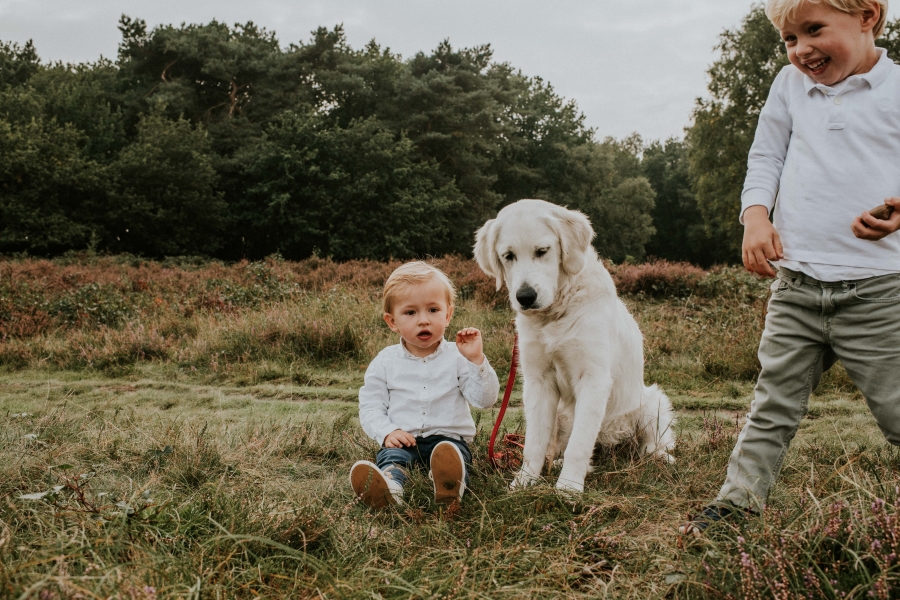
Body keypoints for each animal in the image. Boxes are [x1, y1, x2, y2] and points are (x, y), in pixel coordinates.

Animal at [472, 199, 676, 490]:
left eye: (542, 251)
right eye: (508, 256)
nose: (525, 297)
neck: (555, 313)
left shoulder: (592, 378)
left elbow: (579, 445)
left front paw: (568, 488)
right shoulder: (538, 380)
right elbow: (534, 443)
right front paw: (524, 481)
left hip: (651, 401)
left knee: (652, 443)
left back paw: (657, 458)